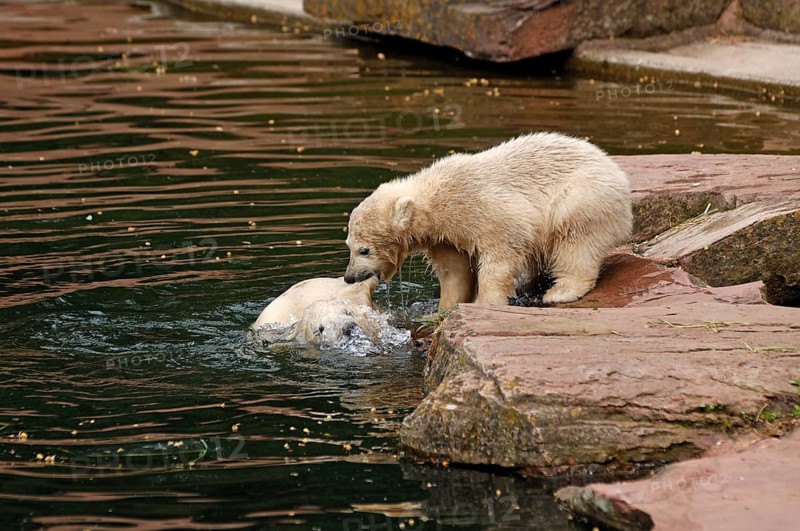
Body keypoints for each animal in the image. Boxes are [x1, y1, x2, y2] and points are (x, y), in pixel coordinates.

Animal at [343, 132, 632, 308]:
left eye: (364, 250)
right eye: (349, 246)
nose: (349, 277)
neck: (433, 198)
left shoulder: (479, 205)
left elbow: (503, 248)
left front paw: (486, 302)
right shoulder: (444, 236)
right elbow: (454, 270)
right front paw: (446, 307)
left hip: (583, 196)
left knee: (575, 239)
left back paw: (561, 291)